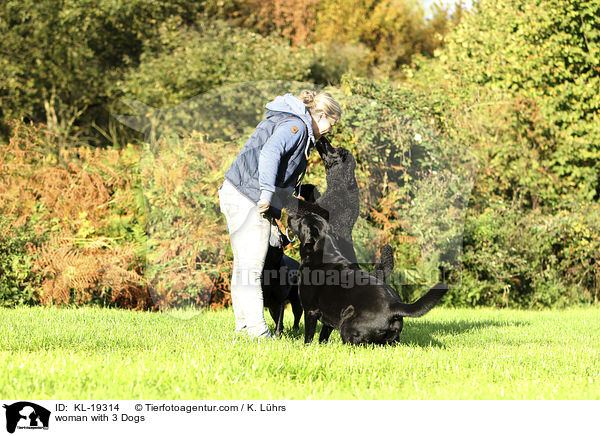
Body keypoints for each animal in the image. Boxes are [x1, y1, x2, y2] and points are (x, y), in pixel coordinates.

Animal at [288, 209, 448, 346]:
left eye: (301, 219)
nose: (289, 214)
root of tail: (393, 305)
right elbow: (323, 336)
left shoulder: (310, 310)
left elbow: (309, 336)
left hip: (347, 324)